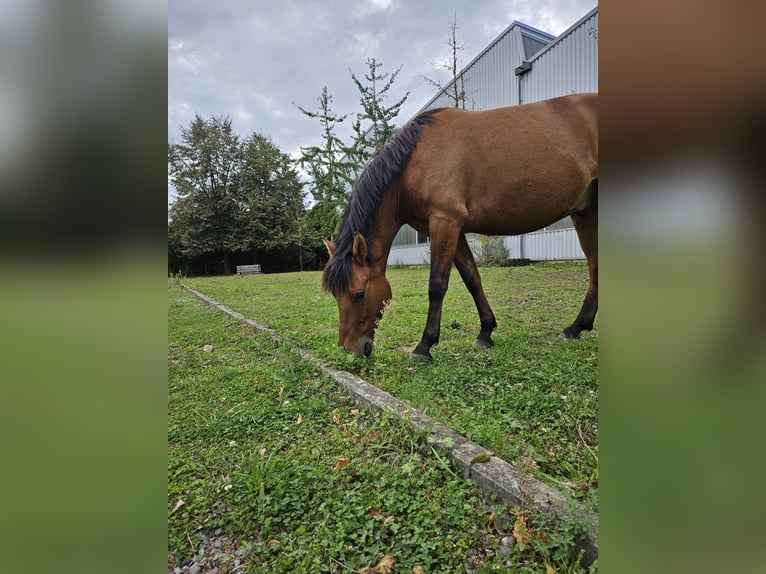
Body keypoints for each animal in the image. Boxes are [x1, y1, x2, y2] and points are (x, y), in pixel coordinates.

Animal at [320, 92, 596, 362]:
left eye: (359, 294)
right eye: (335, 295)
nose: (351, 349)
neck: (413, 164)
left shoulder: (445, 222)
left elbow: (437, 284)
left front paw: (424, 346)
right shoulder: (452, 229)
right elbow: (472, 278)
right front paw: (485, 332)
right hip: (585, 213)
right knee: (594, 266)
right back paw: (576, 327)